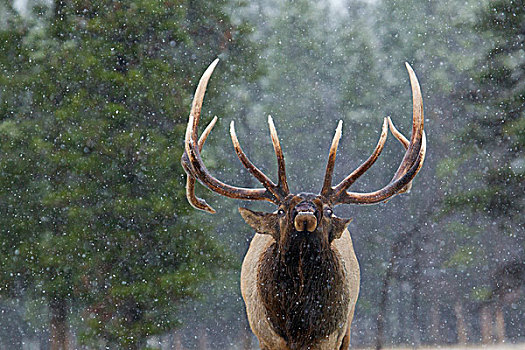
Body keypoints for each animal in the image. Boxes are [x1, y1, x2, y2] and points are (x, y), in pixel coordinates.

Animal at [180, 58, 426, 348]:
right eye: (281, 210)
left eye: (328, 210)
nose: (305, 213)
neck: (298, 322)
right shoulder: (267, 335)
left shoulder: (331, 335)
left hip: (348, 326)